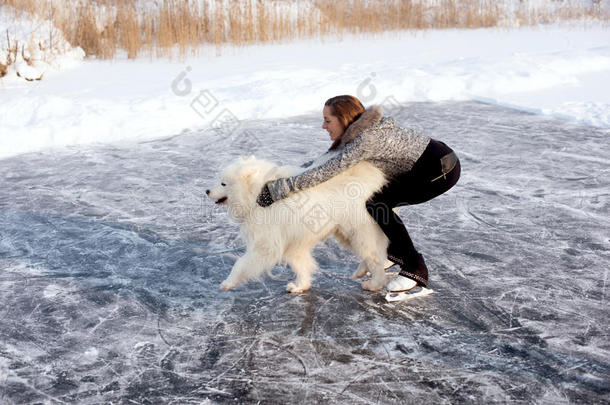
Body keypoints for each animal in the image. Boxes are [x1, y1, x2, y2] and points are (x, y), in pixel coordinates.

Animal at [207, 155, 388, 294]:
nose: (207, 191)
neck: (256, 197)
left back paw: (374, 284)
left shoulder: (266, 244)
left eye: (223, 183)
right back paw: (362, 271)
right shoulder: (294, 243)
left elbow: (241, 263)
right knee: (374, 253)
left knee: (375, 257)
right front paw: (301, 286)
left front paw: (228, 283)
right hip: (344, 234)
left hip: (358, 233)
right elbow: (300, 264)